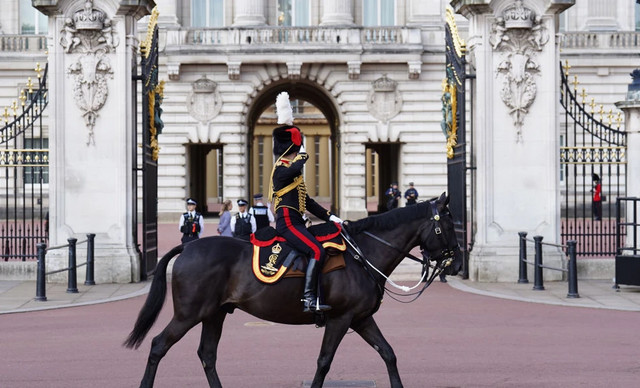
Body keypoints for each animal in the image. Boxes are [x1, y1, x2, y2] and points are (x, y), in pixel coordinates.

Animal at [125, 192, 462, 386]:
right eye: (447, 224)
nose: (458, 263)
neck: (362, 255)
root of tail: (189, 246)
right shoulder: (341, 319)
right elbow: (324, 362)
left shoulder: (361, 318)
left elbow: (388, 354)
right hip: (189, 314)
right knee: (158, 345)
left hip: (214, 314)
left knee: (207, 355)